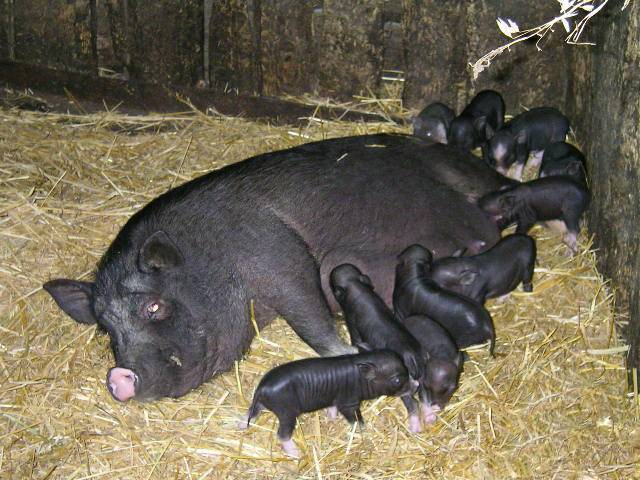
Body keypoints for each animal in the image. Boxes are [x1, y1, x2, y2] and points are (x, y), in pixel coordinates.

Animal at [42, 132, 510, 402]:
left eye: (154, 306)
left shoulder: (280, 253)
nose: (120, 377)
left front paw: (347, 355)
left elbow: (309, 317)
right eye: (107, 330)